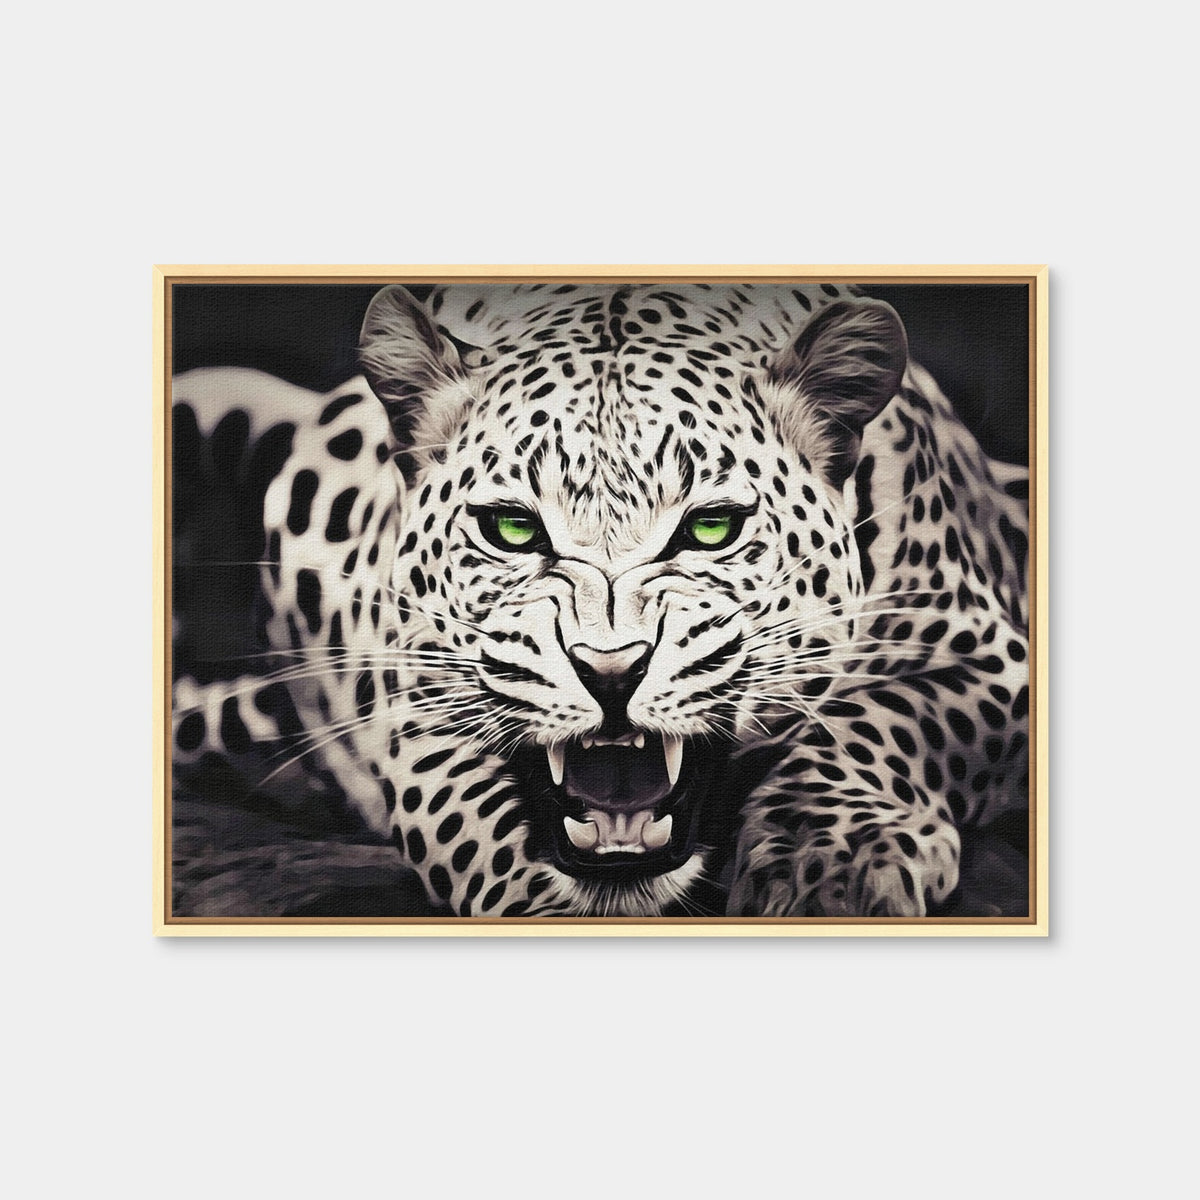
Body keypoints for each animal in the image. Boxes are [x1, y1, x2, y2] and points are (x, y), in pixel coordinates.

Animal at [171, 282, 1030, 919]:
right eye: (513, 529)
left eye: (710, 528)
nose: (610, 671)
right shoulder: (419, 708)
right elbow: (477, 824)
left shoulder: (989, 659)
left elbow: (881, 719)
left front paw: (831, 863)